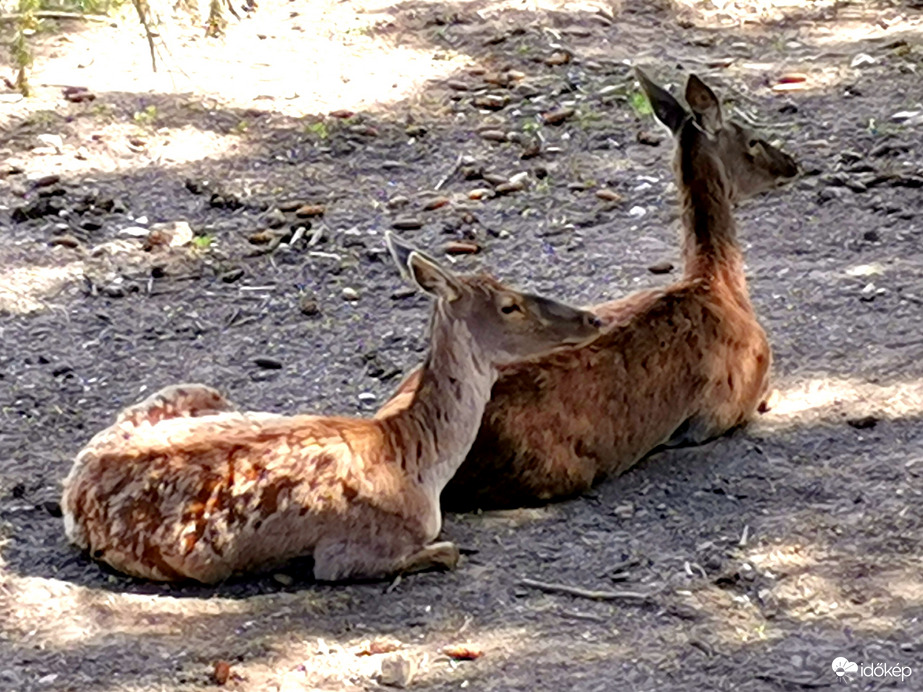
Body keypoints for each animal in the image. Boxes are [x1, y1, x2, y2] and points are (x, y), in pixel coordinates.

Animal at [61, 234, 604, 584]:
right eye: (510, 305)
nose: (591, 318)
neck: (417, 463)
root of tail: (74, 481)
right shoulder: (348, 552)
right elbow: (446, 552)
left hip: (196, 389)